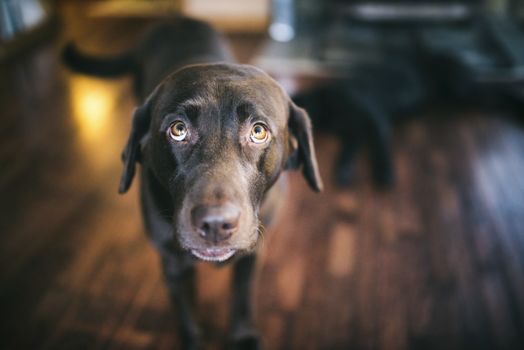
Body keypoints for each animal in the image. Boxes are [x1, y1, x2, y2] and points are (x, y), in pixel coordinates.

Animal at [63, 17, 322, 350]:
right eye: (178, 129)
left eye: (259, 131)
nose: (215, 224)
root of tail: (176, 19)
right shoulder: (172, 263)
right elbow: (186, 311)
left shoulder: (252, 254)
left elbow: (242, 296)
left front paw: (242, 335)